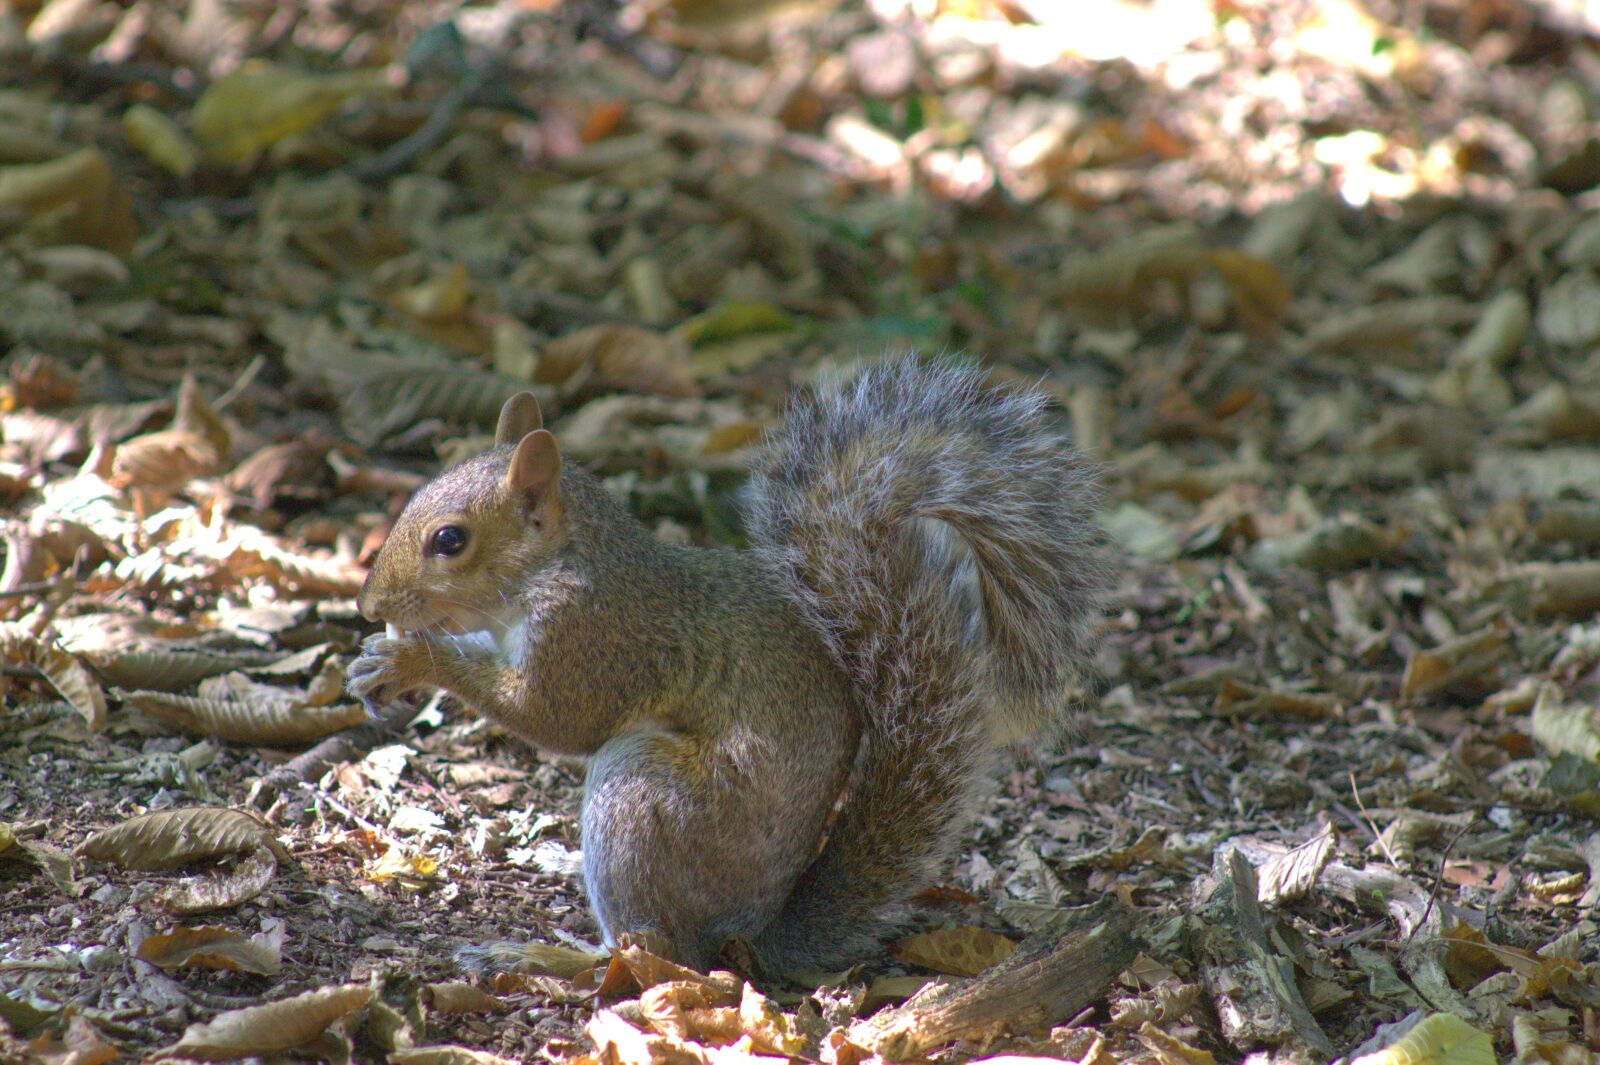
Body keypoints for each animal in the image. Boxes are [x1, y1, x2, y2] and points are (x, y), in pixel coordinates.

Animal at [347, 356, 1110, 974]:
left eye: (451, 540)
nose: (368, 602)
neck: (561, 564)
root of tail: (755, 929)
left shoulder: (595, 635)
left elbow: (559, 718)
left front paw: (414, 656)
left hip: (643, 800)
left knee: (659, 953)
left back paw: (553, 955)